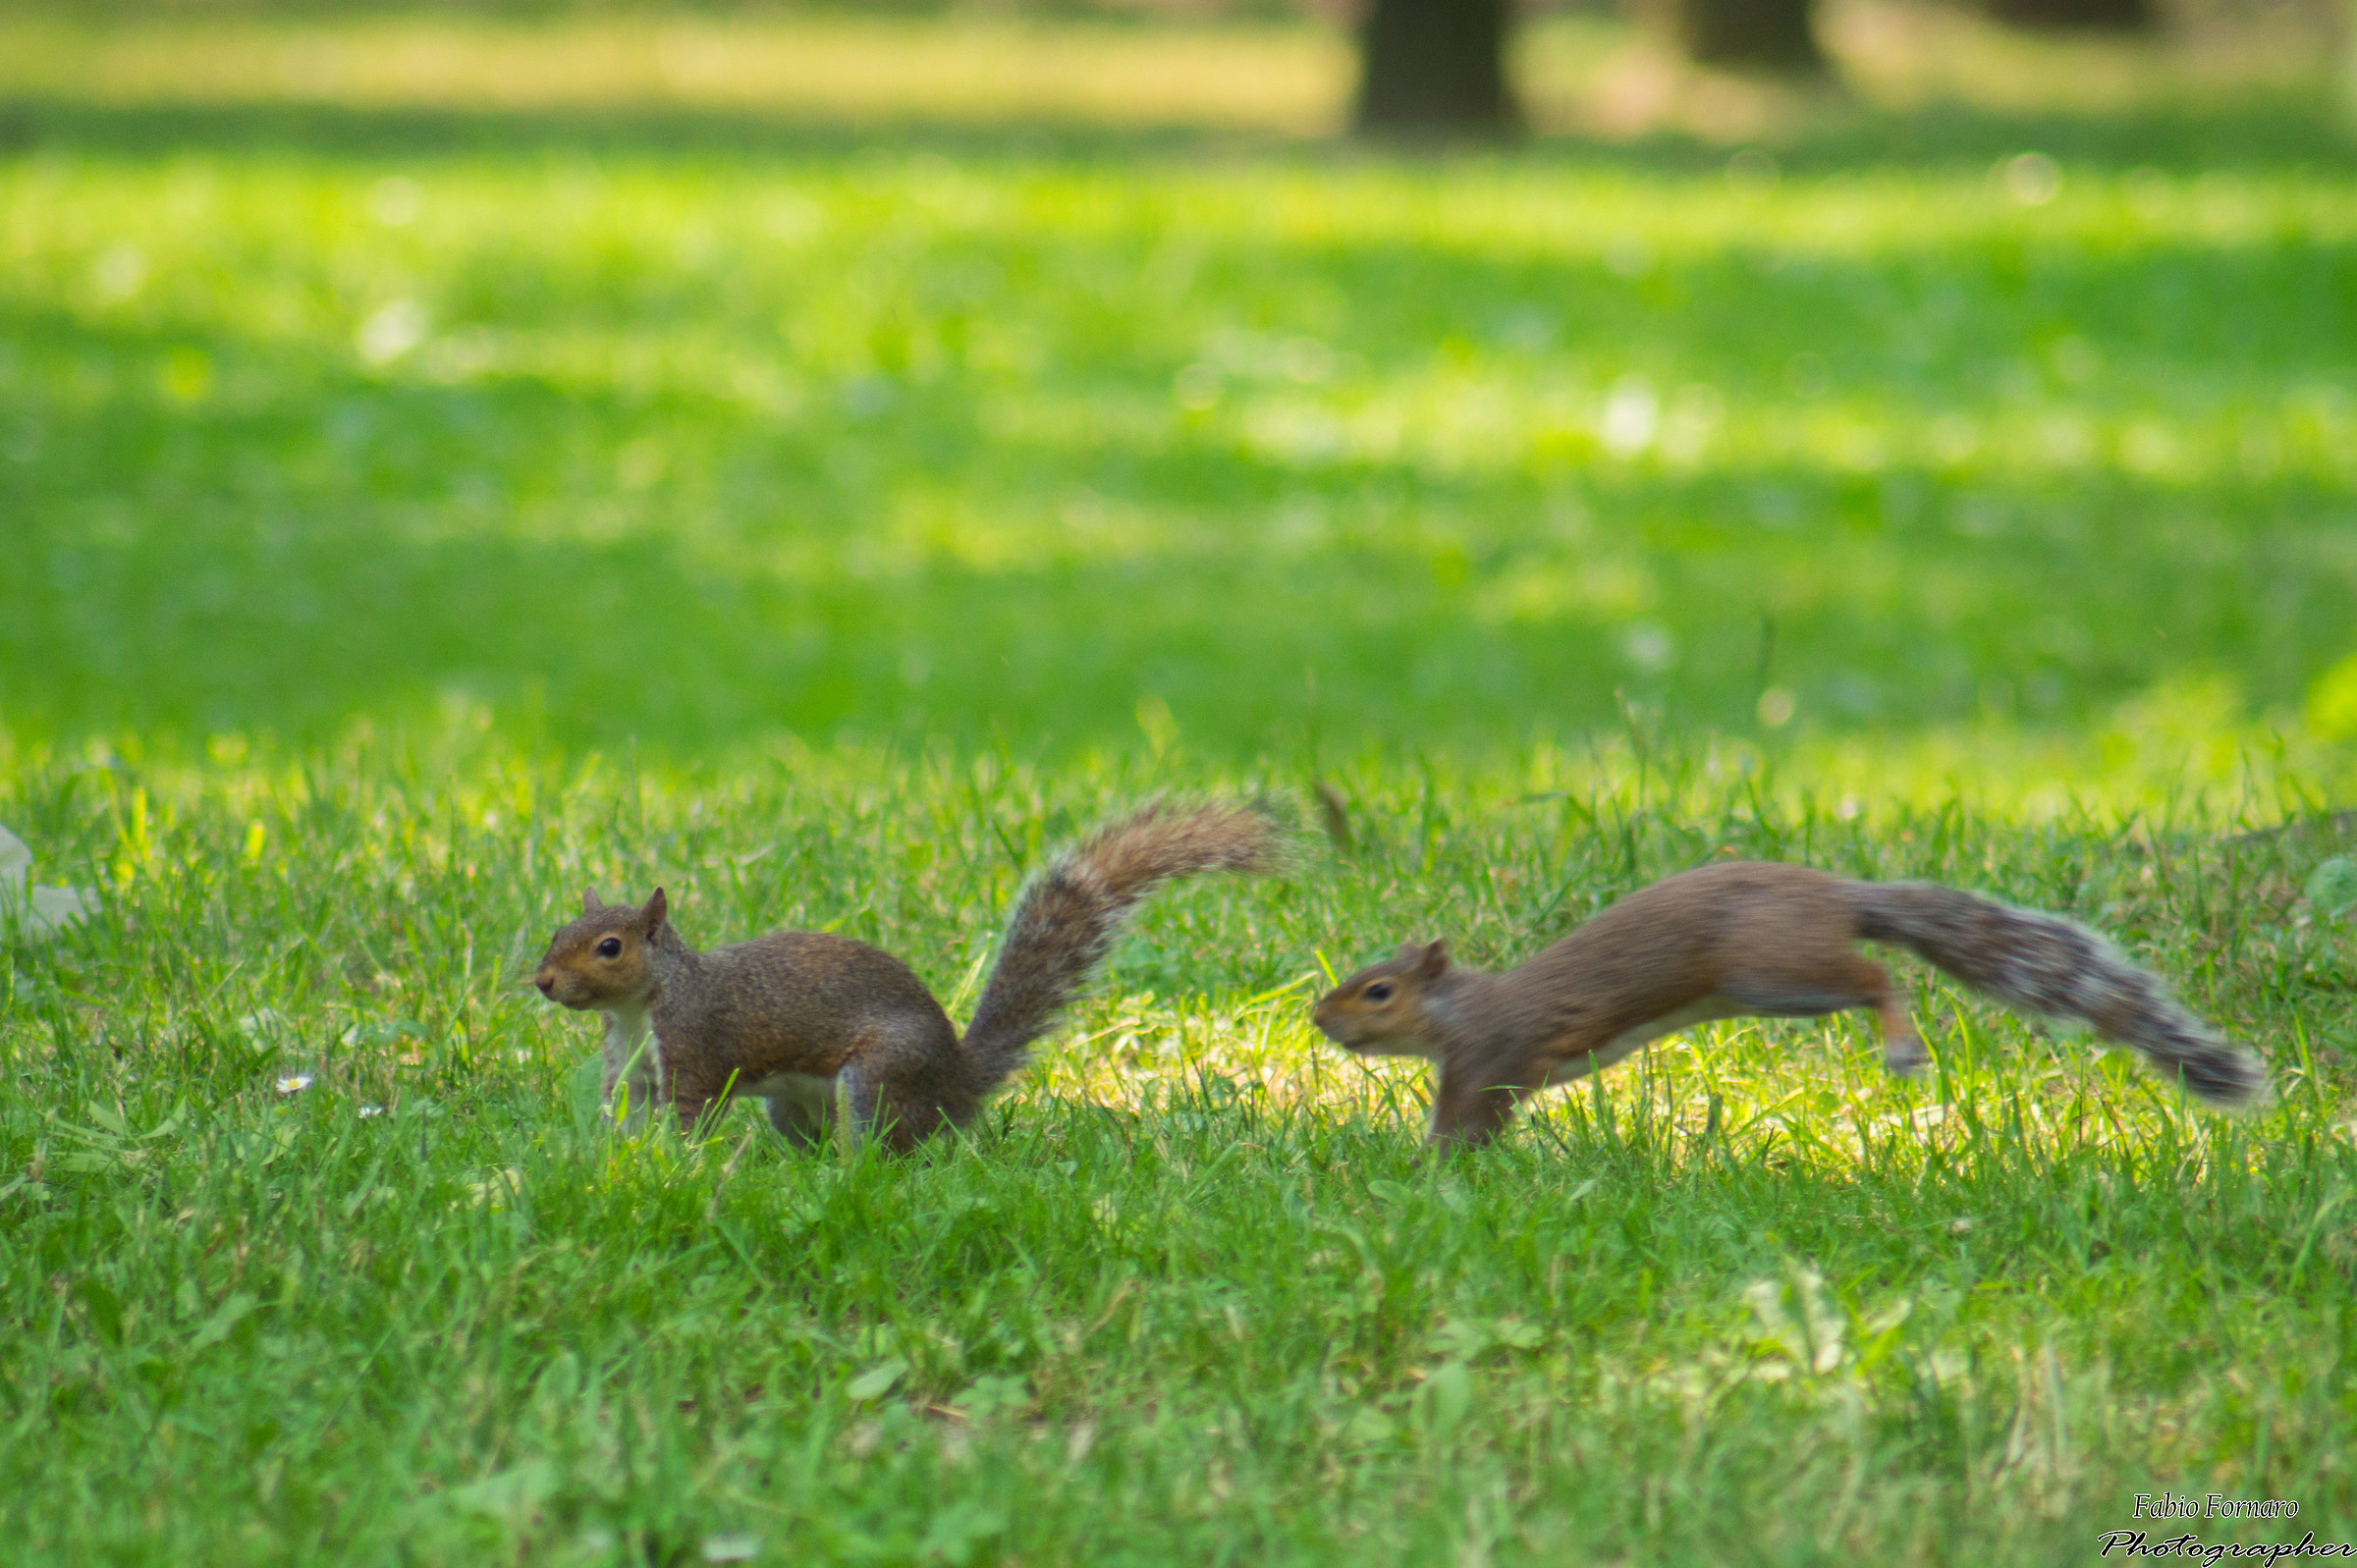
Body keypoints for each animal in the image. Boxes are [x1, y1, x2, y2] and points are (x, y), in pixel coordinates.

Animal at [532, 801, 1283, 1151]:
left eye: (608, 947)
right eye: (555, 934)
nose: (542, 982)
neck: (642, 1005)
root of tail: (957, 1082)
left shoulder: (695, 1051)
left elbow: (690, 1116)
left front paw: (676, 1163)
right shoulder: (630, 1065)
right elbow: (620, 1114)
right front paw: (614, 1161)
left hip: (879, 1076)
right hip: (795, 1105)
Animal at [1311, 859, 2268, 1151]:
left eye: (1378, 990)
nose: (1319, 1019)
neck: (1460, 1010)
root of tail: (1838, 893)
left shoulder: (1488, 1060)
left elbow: (1464, 1126)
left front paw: (1428, 1172)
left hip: (1775, 970)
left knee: (1880, 978)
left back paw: (1902, 1045)